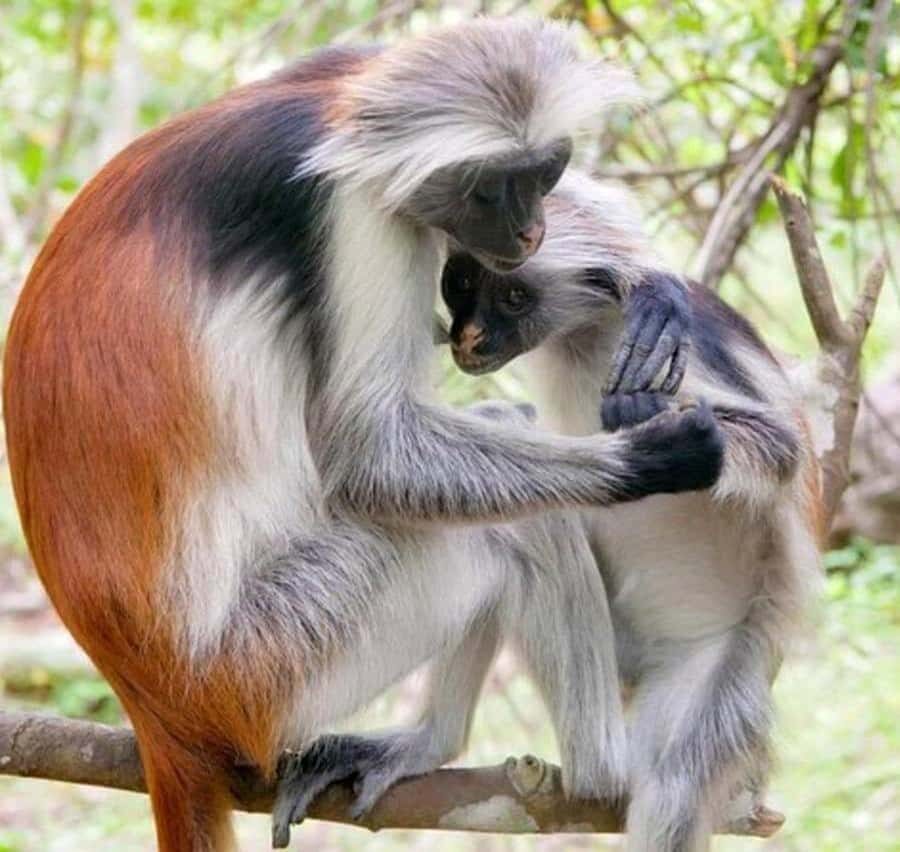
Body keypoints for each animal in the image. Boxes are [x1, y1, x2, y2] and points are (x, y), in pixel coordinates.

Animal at [3, 21, 726, 852]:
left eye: (545, 173)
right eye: (491, 187)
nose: (530, 230)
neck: (330, 123)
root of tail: (157, 712)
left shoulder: (350, 82)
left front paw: (643, 273)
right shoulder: (351, 213)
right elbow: (368, 456)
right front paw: (653, 458)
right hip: (274, 661)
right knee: (514, 525)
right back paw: (600, 773)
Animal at [440, 172, 824, 852]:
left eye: (513, 296)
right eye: (462, 282)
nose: (469, 337)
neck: (586, 330)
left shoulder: (680, 353)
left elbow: (780, 447)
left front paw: (658, 423)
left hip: (715, 663)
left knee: (673, 784)